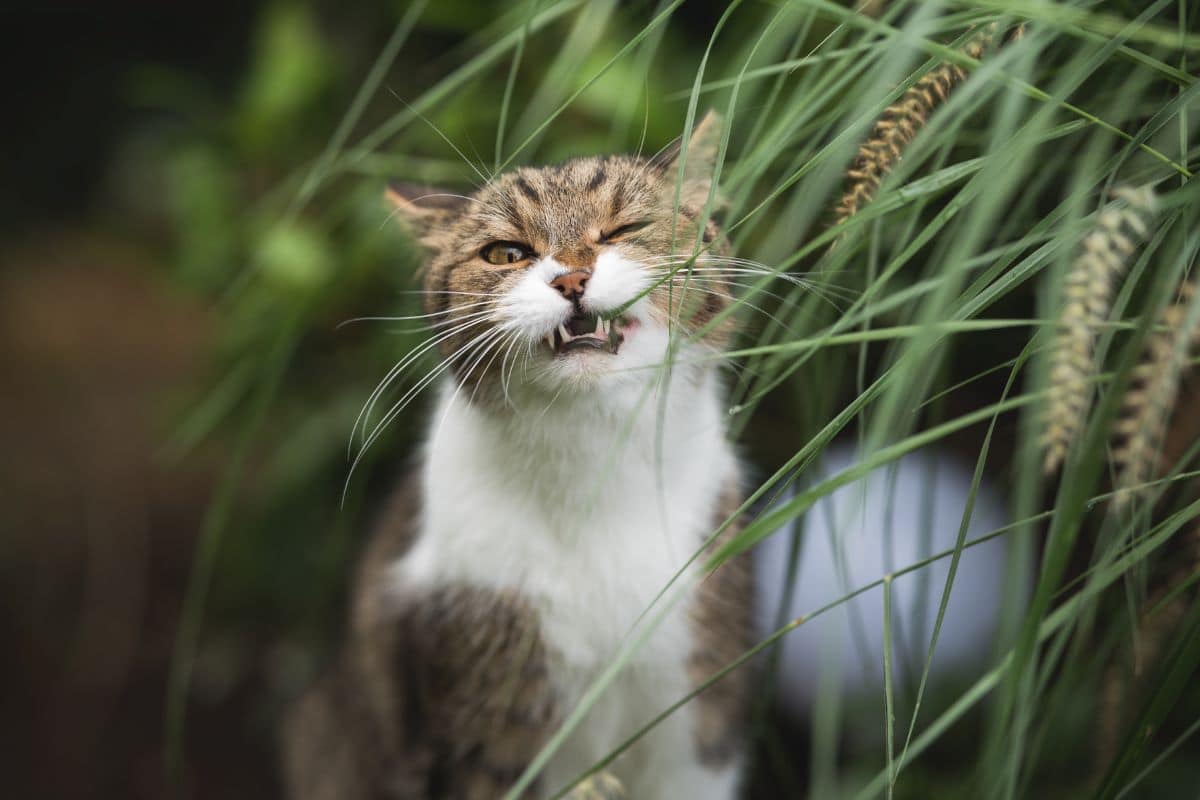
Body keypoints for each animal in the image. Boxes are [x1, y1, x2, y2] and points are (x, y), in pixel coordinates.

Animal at [280, 112, 748, 800]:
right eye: (507, 253)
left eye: (626, 230)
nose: (571, 278)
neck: (591, 469)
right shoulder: (481, 735)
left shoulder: (697, 727)